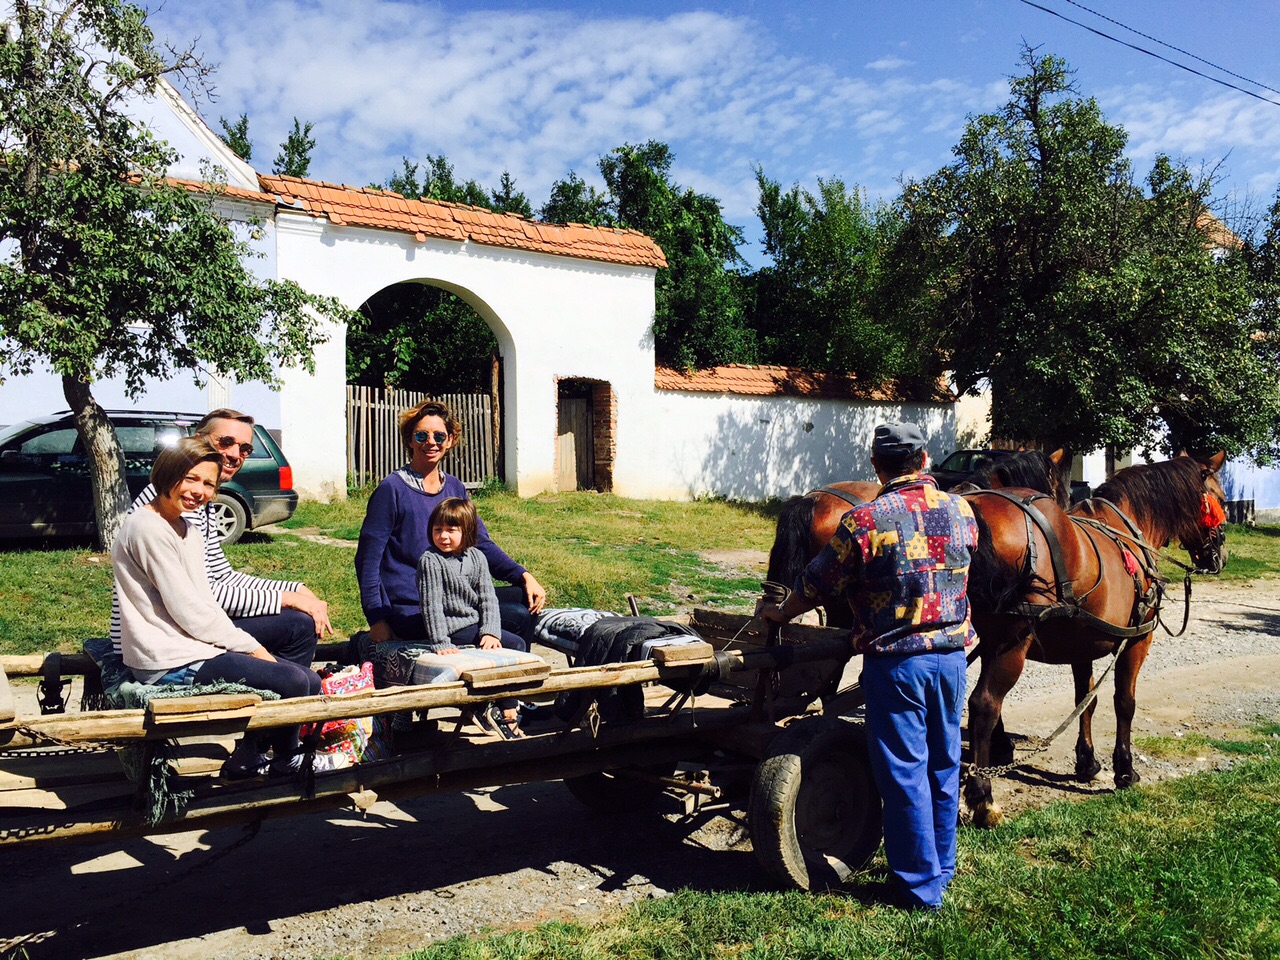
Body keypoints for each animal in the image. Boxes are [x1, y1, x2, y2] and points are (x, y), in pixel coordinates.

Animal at [962, 455, 1228, 829]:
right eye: (1219, 499)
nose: (1220, 555)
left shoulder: (1081, 645)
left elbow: (1085, 700)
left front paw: (1086, 762)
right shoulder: (1138, 639)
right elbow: (1124, 702)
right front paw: (1125, 770)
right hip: (1007, 645)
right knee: (984, 705)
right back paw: (983, 796)